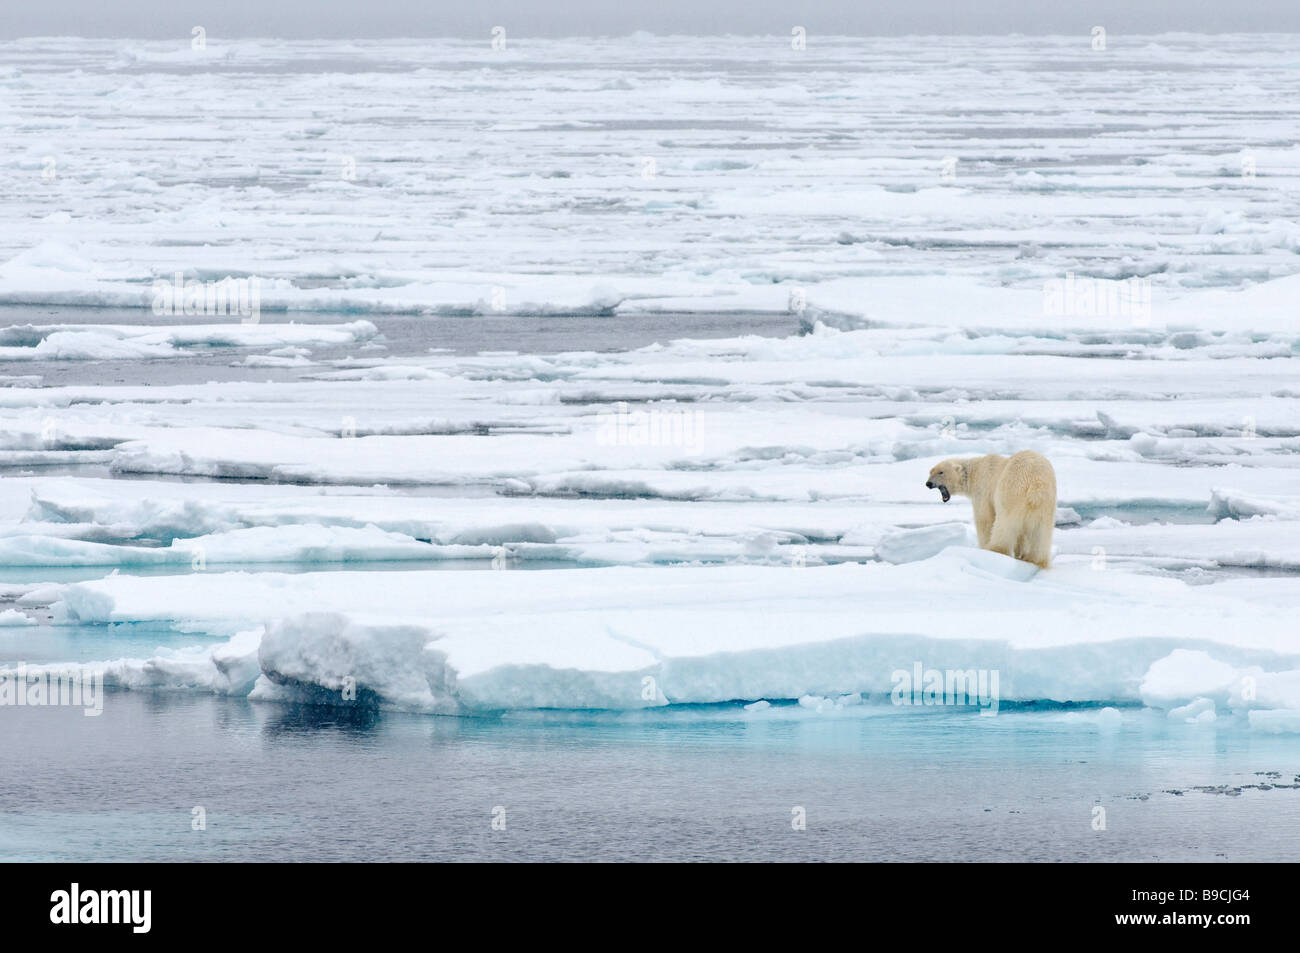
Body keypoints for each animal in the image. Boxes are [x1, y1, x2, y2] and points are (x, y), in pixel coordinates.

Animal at [925, 452, 1055, 564]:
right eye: (931, 472)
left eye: (941, 472)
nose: (928, 483)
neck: (974, 472)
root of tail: (1037, 483)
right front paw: (1020, 553)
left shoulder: (983, 489)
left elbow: (984, 519)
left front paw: (983, 547)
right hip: (1045, 505)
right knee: (1041, 532)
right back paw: (1035, 559)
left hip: (1012, 490)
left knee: (1004, 523)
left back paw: (995, 549)